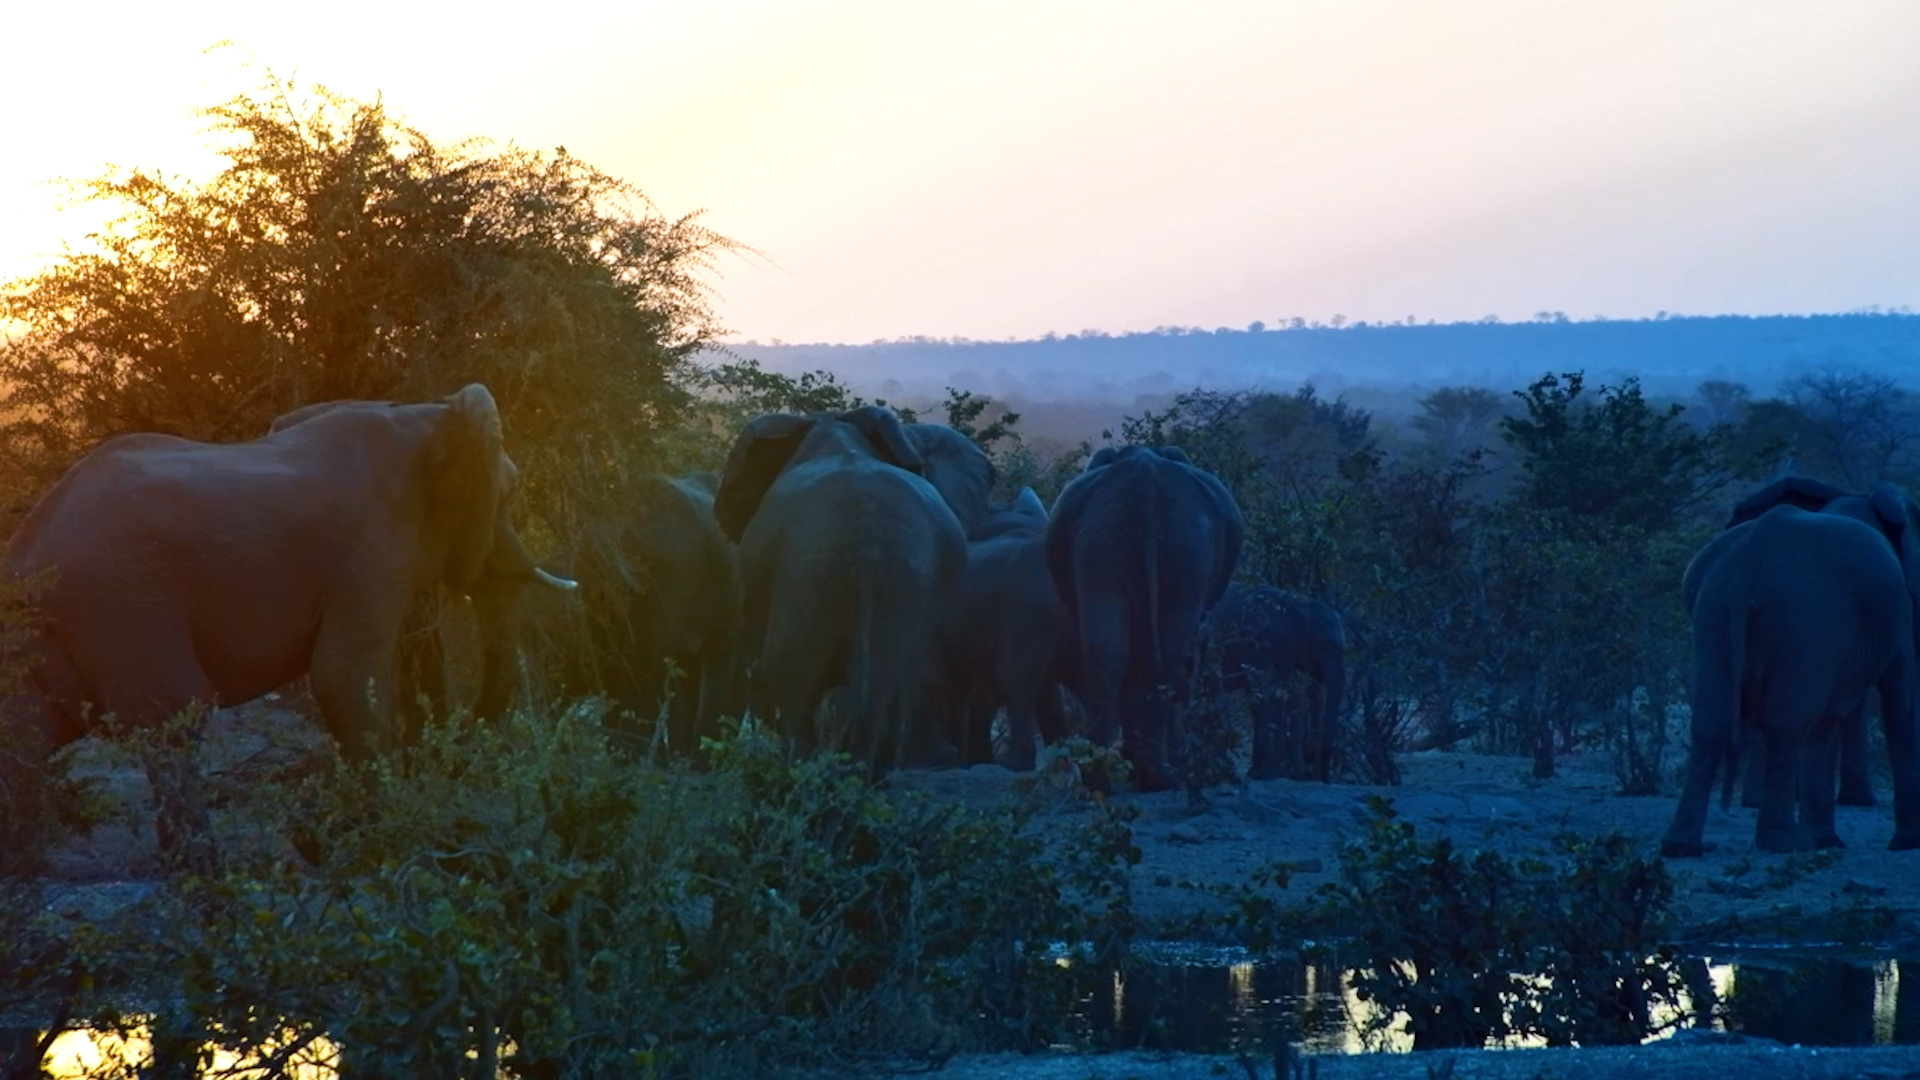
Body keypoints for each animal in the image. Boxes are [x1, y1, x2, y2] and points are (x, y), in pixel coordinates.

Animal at [0, 384, 576, 871]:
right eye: (510, 496)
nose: (450, 758)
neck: (424, 416)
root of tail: (26, 555)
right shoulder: (371, 547)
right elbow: (342, 679)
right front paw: (384, 841)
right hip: (123, 602)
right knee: (175, 720)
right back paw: (208, 887)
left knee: (27, 740)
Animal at [1045, 445, 1245, 792]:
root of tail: (1146, 490)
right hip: (1186, 547)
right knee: (1167, 653)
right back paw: (1158, 776)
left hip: (1107, 539)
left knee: (1110, 654)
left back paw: (1106, 779)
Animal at [1199, 582, 1347, 782]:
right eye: (1325, 646)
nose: (1324, 779)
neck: (1296, 602)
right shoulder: (1263, 642)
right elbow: (1266, 689)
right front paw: (1270, 775)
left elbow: (1266, 694)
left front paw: (1256, 773)